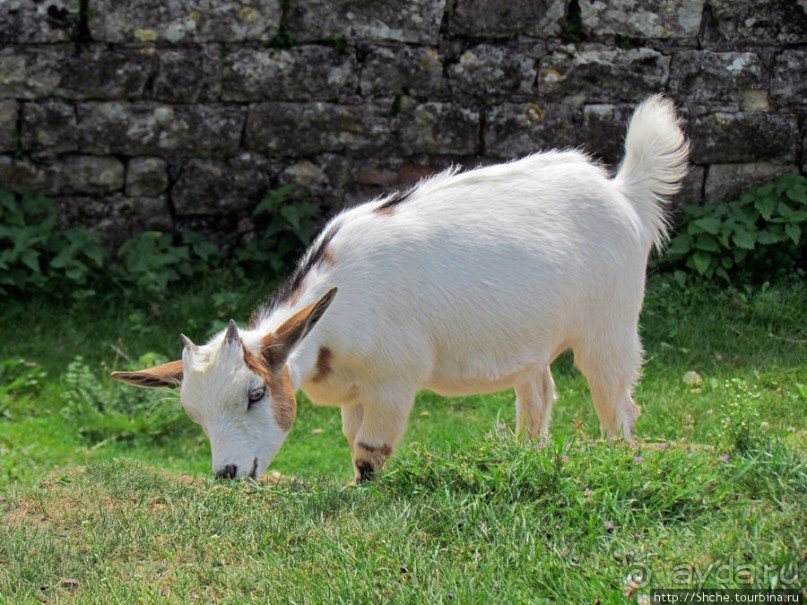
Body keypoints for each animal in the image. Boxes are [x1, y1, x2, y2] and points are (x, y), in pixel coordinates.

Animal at [112, 94, 688, 482]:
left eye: (256, 394)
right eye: (193, 413)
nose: (227, 473)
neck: (338, 307)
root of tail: (623, 193)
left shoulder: (394, 378)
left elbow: (370, 451)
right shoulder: (354, 391)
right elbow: (351, 441)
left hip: (610, 325)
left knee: (616, 405)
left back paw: (616, 462)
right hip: (532, 335)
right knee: (539, 394)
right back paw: (525, 459)